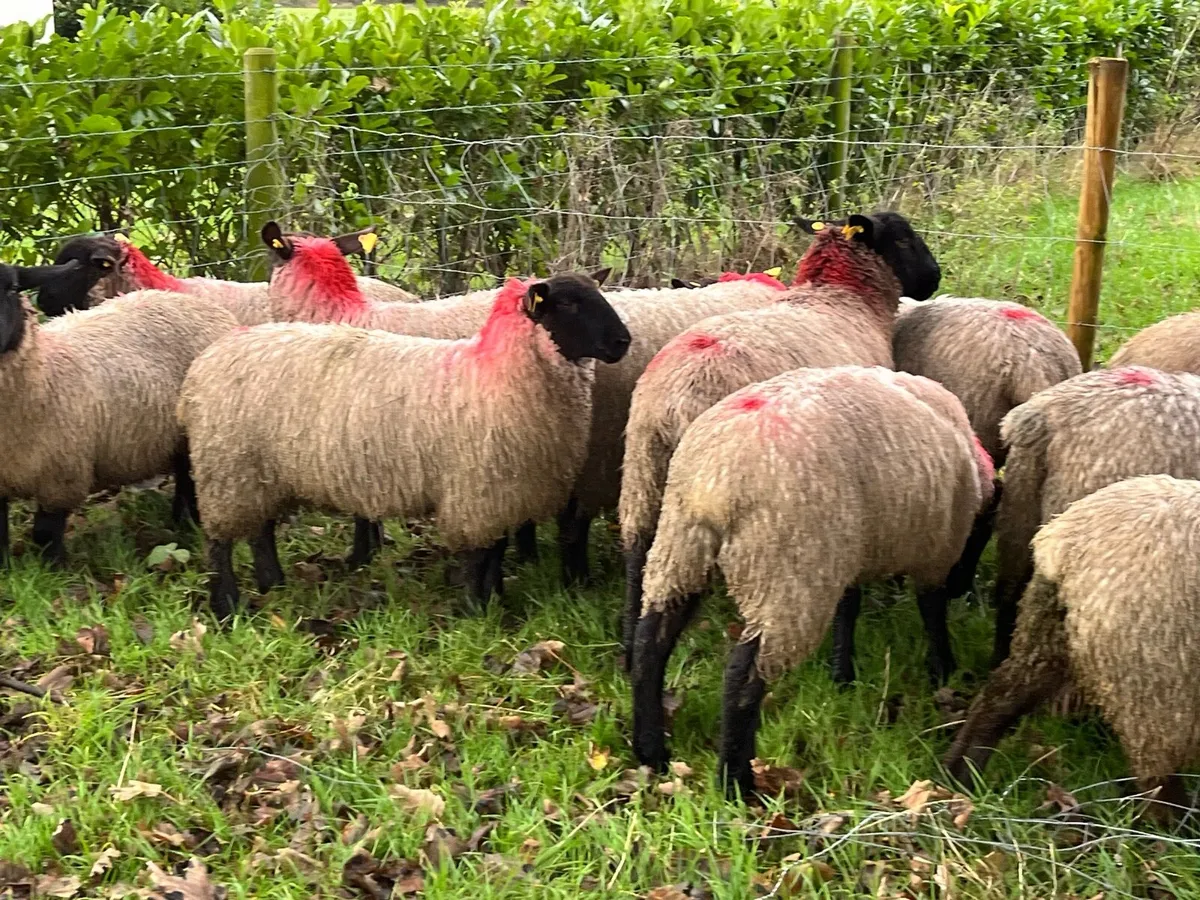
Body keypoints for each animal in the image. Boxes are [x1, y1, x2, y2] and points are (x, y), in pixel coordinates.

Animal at [0, 268, 237, 565]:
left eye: (12, 288)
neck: (46, 369)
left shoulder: (62, 478)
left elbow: (45, 533)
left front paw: (55, 568)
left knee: (187, 478)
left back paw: (186, 524)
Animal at [177, 274, 631, 619]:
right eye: (568, 304)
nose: (623, 342)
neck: (495, 373)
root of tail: (207, 360)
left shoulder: (501, 491)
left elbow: (496, 549)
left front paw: (496, 598)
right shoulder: (476, 490)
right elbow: (477, 556)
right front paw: (476, 610)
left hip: (256, 469)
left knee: (261, 530)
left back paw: (273, 583)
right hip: (226, 466)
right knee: (219, 541)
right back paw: (226, 605)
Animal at [620, 212, 942, 658]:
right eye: (905, 240)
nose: (934, 278)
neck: (842, 298)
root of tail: (677, 395)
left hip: (643, 468)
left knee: (638, 553)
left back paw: (627, 644)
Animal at [628, 366, 993, 797]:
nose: (963, 588)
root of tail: (715, 480)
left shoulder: (851, 553)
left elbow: (849, 608)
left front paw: (842, 675)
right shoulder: (937, 551)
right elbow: (932, 611)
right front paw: (944, 670)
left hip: (681, 548)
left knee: (650, 644)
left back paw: (650, 750)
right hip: (788, 569)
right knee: (742, 676)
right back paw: (736, 781)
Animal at [945, 474, 1200, 823]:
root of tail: (1065, 538)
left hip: (1047, 633)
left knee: (996, 701)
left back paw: (960, 776)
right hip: (1155, 672)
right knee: (1156, 777)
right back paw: (1175, 829)